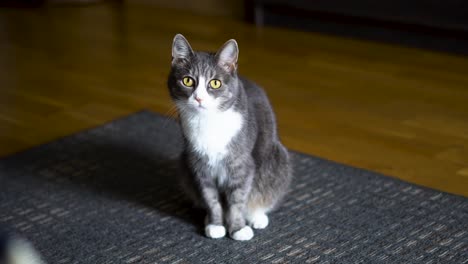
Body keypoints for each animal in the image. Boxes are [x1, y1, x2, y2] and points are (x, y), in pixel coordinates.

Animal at [167, 34, 292, 240]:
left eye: (215, 83)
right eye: (187, 81)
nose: (199, 98)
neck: (208, 121)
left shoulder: (241, 164)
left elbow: (237, 200)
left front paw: (238, 229)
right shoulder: (199, 166)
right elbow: (211, 199)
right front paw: (215, 224)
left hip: (277, 159)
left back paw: (258, 217)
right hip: (184, 163)